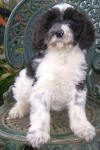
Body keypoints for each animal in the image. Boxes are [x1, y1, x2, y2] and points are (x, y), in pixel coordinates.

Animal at [9, 2, 95, 148]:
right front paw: (38, 134)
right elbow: (40, 114)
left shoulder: (78, 85)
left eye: (70, 21)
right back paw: (18, 110)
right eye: (51, 23)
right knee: (22, 99)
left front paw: (83, 128)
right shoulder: (41, 86)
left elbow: (77, 109)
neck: (62, 55)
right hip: (23, 80)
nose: (58, 32)